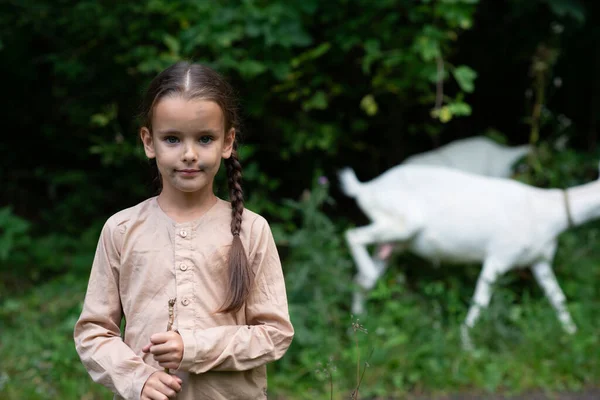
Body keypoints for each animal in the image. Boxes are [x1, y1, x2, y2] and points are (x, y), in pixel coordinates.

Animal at [340, 162, 596, 346]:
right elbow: (481, 300)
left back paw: (357, 327)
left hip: (395, 243)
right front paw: (466, 344)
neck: (548, 215)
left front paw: (573, 333)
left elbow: (557, 297)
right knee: (352, 235)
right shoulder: (500, 255)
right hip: (404, 222)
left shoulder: (540, 260)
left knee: (362, 278)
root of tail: (365, 188)